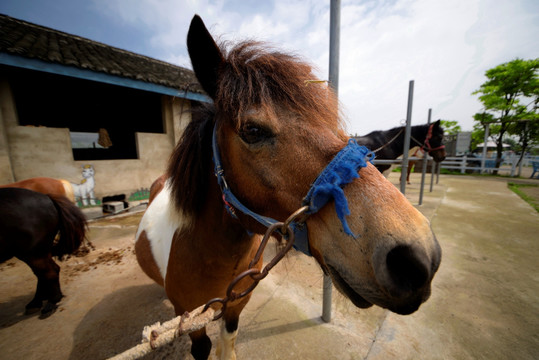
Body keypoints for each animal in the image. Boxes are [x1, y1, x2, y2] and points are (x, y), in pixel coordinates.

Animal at [0, 188, 86, 318]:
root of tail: (47, 197)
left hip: (32, 251)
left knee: (48, 272)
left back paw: (50, 303)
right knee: (43, 273)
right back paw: (37, 302)